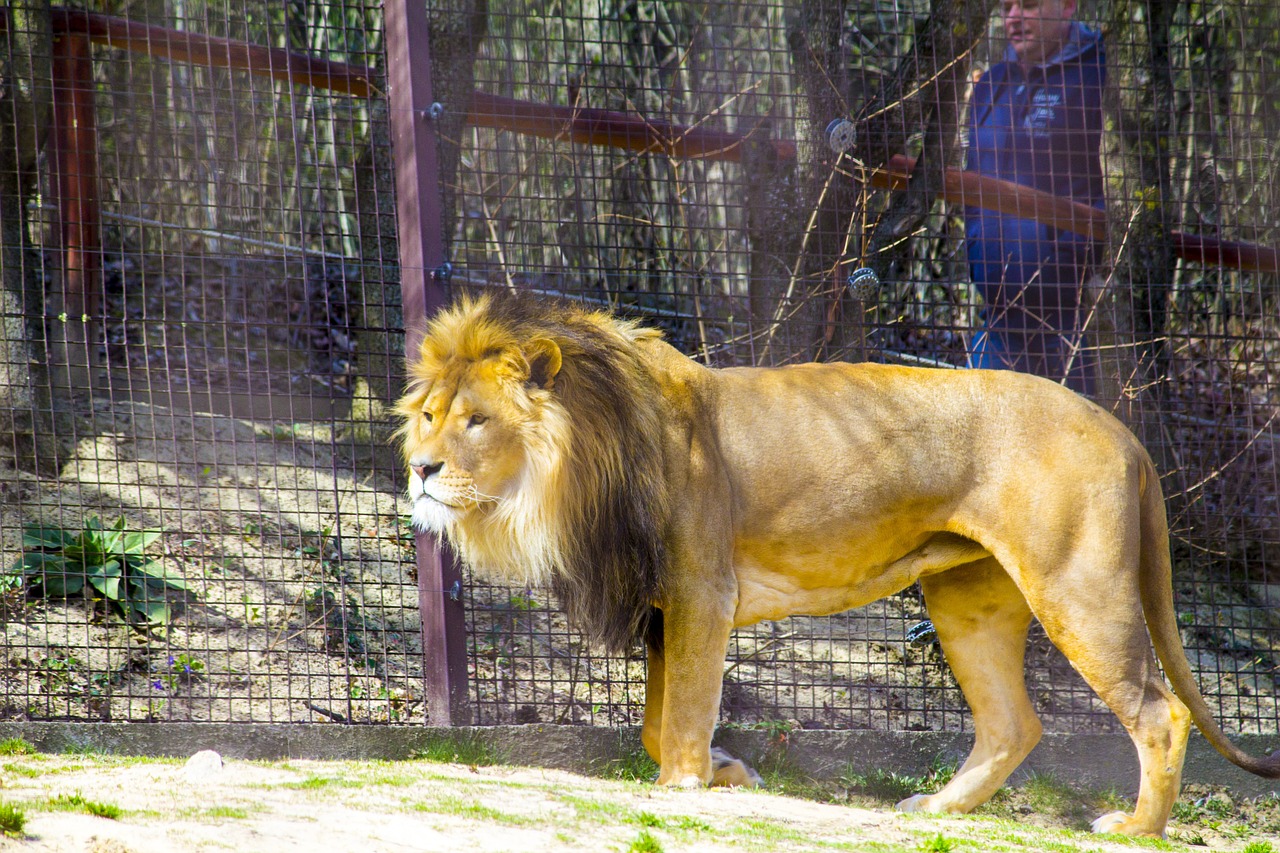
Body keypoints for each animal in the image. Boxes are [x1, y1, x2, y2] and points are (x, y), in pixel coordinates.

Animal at [394, 289, 1274, 835]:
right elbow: (656, 716)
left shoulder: (700, 587)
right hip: (967, 600)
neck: (587, 453)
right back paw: (937, 811)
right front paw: (723, 770)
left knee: (1160, 711)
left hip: (1078, 587)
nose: (421, 468)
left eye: (476, 420)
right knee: (1013, 723)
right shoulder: (662, 607)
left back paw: (1135, 826)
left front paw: (685, 784)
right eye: (430, 415)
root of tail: (1124, 431)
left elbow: (685, 707)